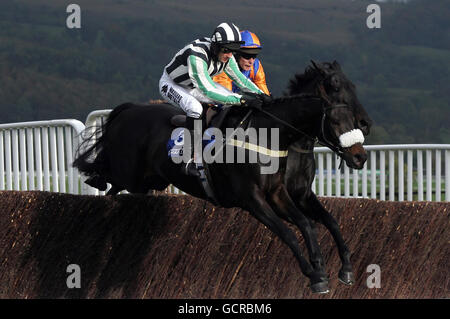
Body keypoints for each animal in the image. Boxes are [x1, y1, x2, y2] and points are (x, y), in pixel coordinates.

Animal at [73, 61, 370, 294]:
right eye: (334, 85)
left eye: (353, 85)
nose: (360, 155)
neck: (272, 136)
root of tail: (130, 109)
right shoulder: (253, 200)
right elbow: (288, 231)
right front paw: (316, 274)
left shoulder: (287, 194)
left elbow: (317, 223)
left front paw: (338, 269)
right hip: (127, 176)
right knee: (107, 184)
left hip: (146, 183)